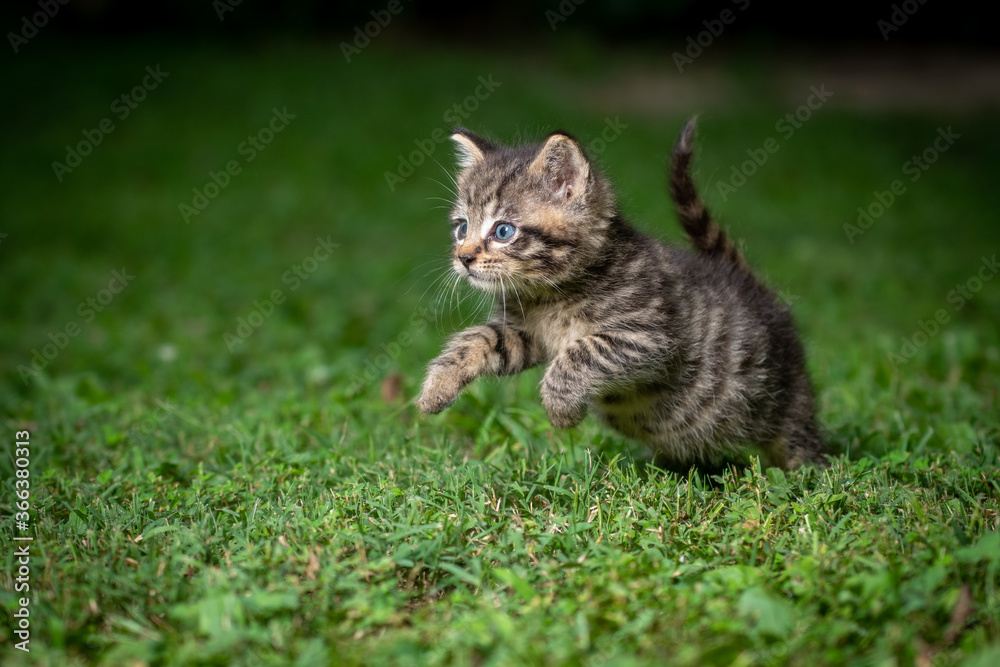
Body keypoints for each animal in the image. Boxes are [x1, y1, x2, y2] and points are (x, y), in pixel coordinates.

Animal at [414, 117, 828, 470]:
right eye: (461, 227)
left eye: (503, 231)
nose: (464, 257)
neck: (550, 295)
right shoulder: (525, 334)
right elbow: (478, 339)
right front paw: (437, 387)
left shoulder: (648, 337)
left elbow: (580, 354)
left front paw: (561, 409)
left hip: (787, 404)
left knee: (800, 440)